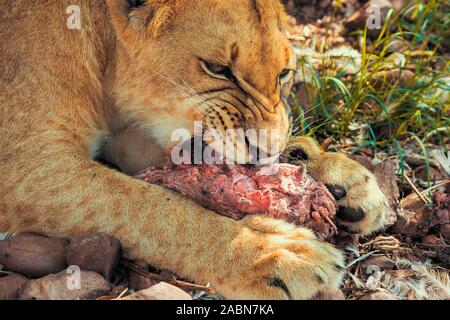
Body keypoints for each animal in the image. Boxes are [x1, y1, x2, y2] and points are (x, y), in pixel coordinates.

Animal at [0, 0, 386, 300]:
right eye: (217, 69)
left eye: (284, 74)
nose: (267, 151)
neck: (103, 54)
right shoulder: (26, 166)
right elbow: (154, 209)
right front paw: (274, 255)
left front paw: (343, 180)